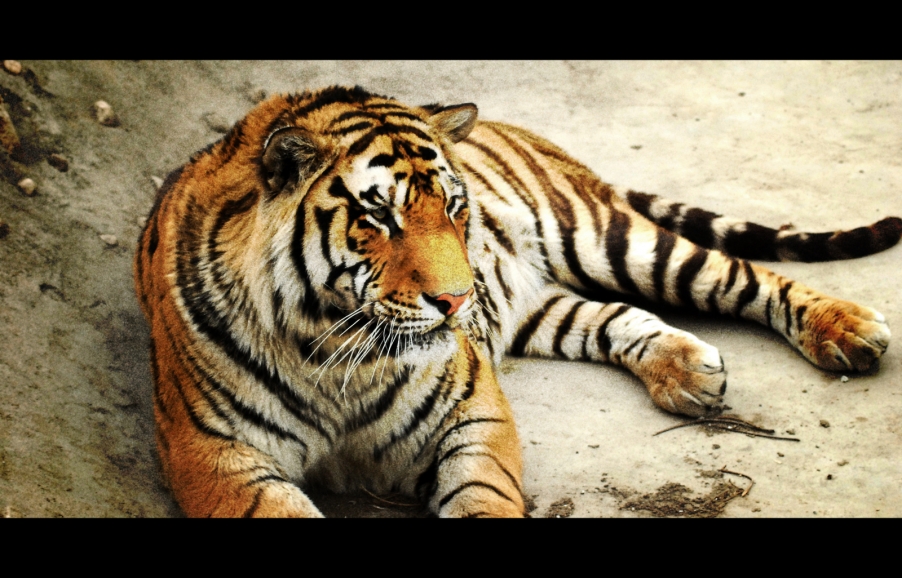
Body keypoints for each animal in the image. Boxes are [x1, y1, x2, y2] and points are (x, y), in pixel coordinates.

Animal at [134, 85, 900, 518]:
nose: (454, 300)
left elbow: (486, 495)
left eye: (453, 207)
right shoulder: (217, 455)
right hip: (536, 303)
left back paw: (848, 329)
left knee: (743, 274)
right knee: (611, 316)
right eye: (378, 217)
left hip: (607, 237)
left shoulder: (472, 409)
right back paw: (686, 372)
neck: (336, 348)